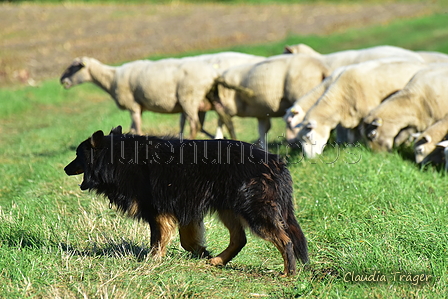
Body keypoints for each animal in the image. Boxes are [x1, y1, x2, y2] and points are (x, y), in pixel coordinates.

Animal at [64, 126, 308, 276]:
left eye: (77, 155)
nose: (65, 169)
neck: (118, 158)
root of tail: (275, 162)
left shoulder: (159, 211)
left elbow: (157, 239)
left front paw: (152, 261)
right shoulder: (184, 208)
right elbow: (187, 240)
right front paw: (201, 252)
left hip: (254, 210)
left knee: (284, 240)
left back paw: (288, 273)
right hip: (227, 208)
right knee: (240, 239)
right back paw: (218, 261)